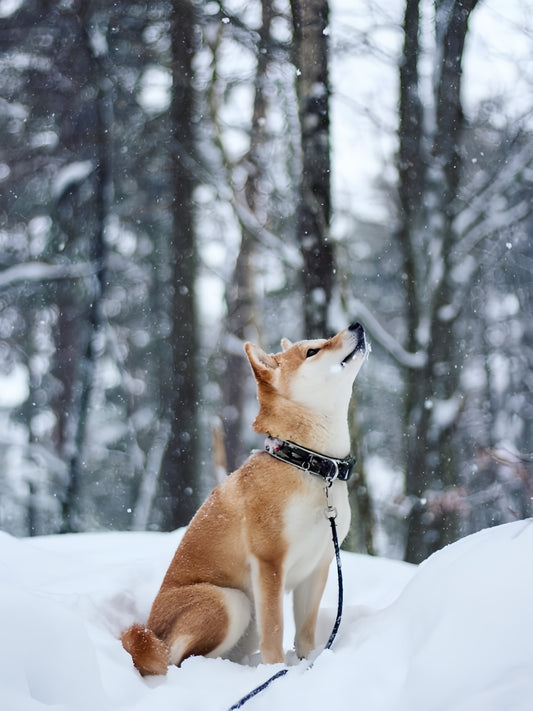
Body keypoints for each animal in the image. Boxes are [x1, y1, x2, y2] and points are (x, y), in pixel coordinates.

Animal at [120, 322, 366, 672]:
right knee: (176, 660)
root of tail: (153, 632)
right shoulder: (269, 562)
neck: (309, 464)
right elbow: (275, 631)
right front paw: (277, 671)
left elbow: (304, 633)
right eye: (312, 351)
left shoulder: (318, 565)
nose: (356, 325)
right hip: (231, 601)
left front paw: (308, 665)